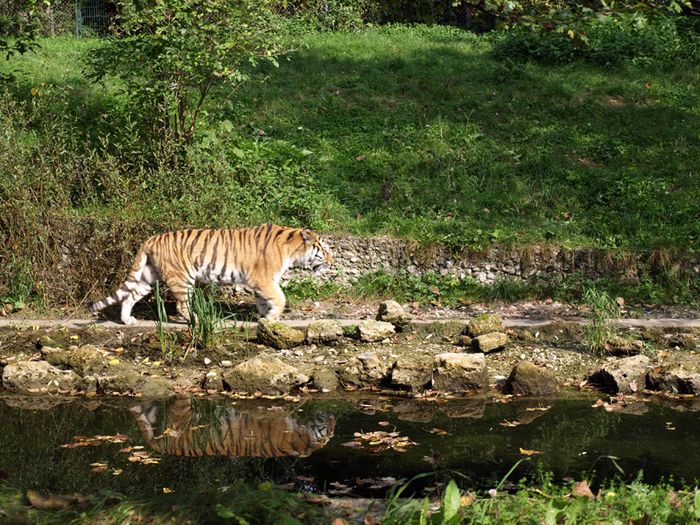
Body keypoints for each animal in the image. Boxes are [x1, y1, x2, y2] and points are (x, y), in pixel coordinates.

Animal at [87, 224, 334, 324]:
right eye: (324, 250)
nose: (332, 262)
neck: (292, 249)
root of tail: (151, 238)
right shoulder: (263, 279)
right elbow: (280, 298)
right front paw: (273, 318)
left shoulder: (261, 283)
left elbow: (264, 301)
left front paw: (264, 318)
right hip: (182, 278)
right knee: (181, 306)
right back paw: (197, 319)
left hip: (149, 276)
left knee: (129, 296)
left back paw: (127, 320)